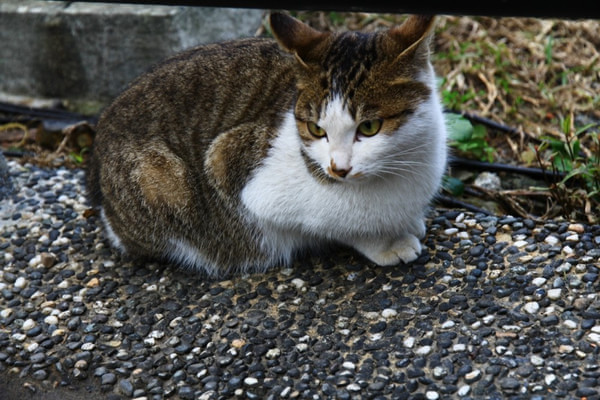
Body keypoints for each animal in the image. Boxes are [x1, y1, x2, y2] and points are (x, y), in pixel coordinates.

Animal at [86, 11, 448, 276]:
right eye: (316, 129)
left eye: (369, 127)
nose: (338, 168)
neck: (401, 167)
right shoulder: (231, 165)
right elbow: (340, 225)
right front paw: (386, 242)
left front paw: (408, 223)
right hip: (160, 181)